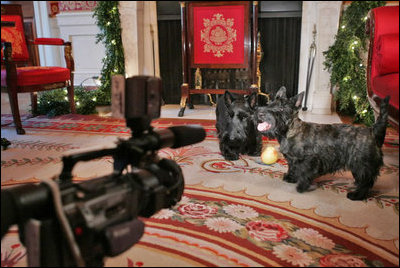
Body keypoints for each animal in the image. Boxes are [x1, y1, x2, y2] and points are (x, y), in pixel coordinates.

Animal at [255, 87, 390, 200]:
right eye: (269, 104)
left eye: (282, 108)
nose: (259, 113)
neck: (289, 132)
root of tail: (372, 131)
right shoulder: (292, 159)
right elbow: (293, 168)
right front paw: (291, 178)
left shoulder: (309, 161)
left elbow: (304, 173)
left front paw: (301, 187)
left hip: (361, 164)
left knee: (366, 182)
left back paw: (357, 195)